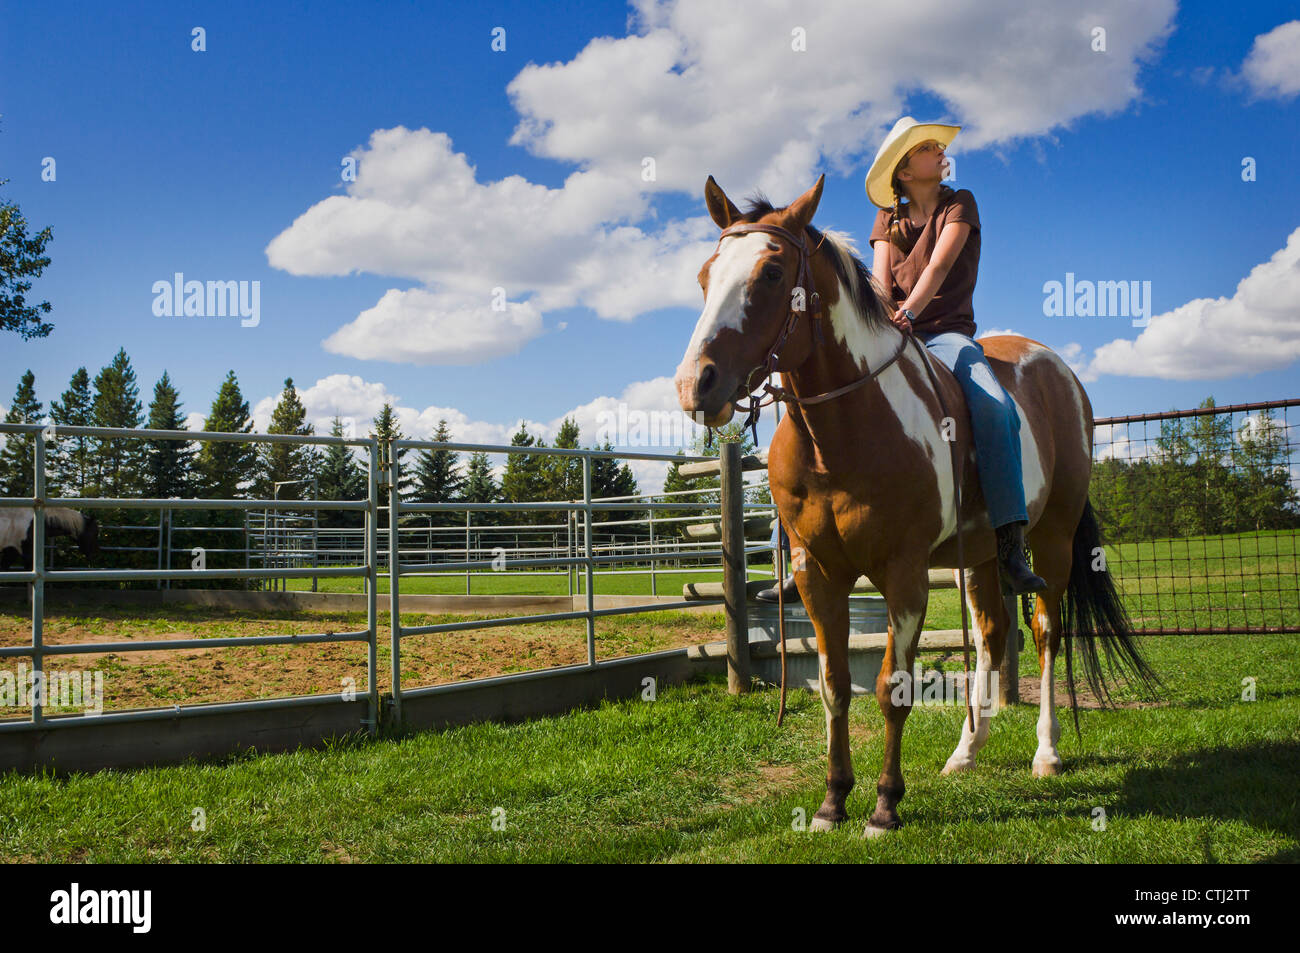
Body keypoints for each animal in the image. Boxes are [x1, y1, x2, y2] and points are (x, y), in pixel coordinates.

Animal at [674, 174, 1157, 836]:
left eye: (771, 273)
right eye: (704, 275)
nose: (696, 384)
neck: (843, 431)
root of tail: (1059, 372)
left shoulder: (904, 574)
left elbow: (891, 688)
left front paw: (884, 806)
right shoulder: (816, 574)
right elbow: (834, 685)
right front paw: (832, 801)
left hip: (1053, 540)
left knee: (1044, 632)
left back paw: (1047, 751)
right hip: (983, 556)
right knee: (992, 633)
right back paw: (966, 752)